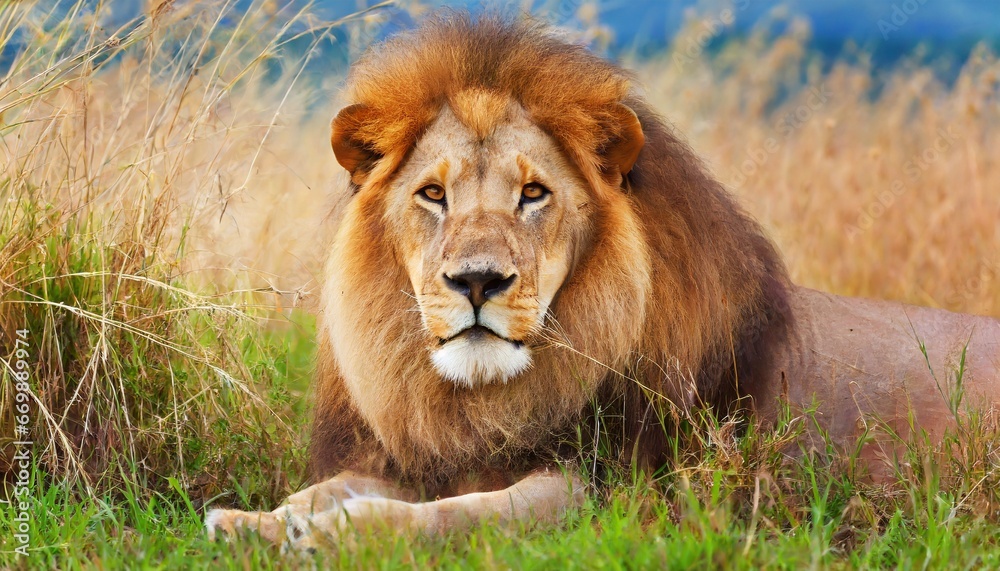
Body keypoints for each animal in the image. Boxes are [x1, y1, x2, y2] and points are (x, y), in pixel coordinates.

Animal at [205, 14, 1000, 549]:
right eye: (433, 195)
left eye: (533, 194)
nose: (477, 281)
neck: (483, 399)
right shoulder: (426, 452)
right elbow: (319, 488)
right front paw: (249, 522)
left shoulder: (612, 489)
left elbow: (470, 514)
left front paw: (339, 532)